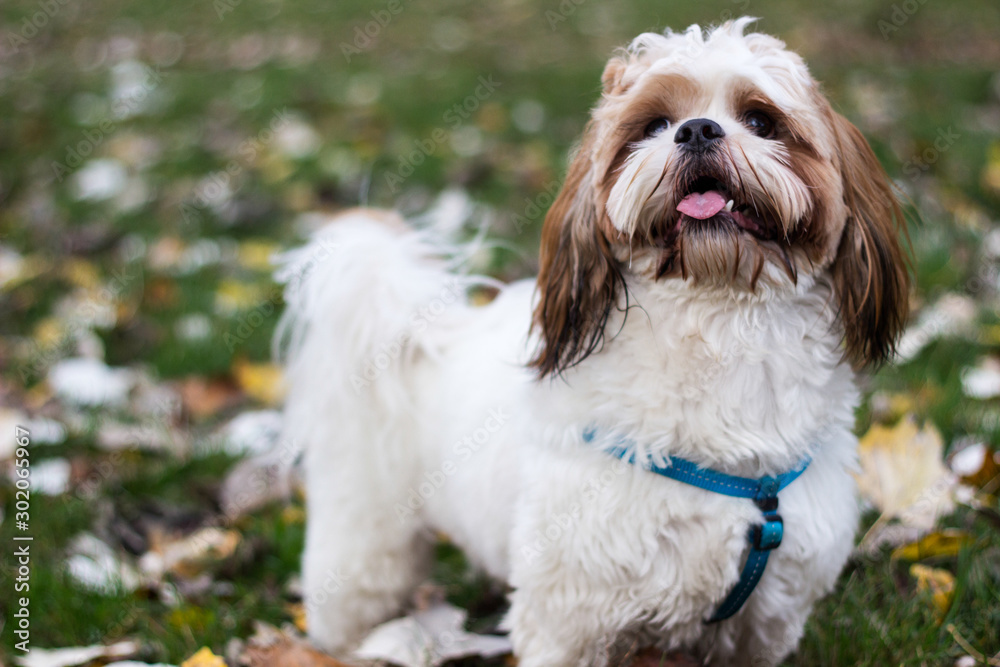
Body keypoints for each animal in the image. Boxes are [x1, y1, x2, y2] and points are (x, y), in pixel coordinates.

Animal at [278, 18, 912, 667]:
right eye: (653, 125)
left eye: (761, 120)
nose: (697, 129)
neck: (718, 321)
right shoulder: (569, 616)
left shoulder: (760, 624)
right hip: (364, 538)